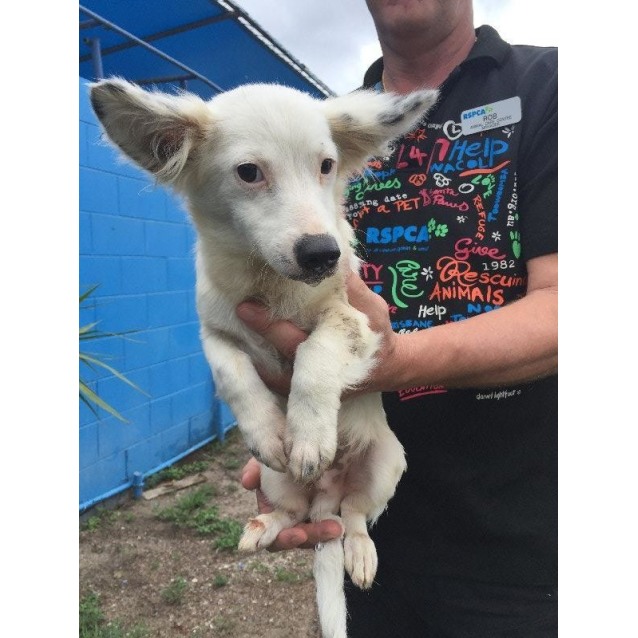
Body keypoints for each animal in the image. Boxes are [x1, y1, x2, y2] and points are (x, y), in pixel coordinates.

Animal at [90, 81, 440, 638]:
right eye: (249, 172)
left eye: (326, 165)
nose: (322, 255)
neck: (268, 281)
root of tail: (326, 492)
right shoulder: (213, 329)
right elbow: (231, 372)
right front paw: (271, 431)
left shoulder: (359, 322)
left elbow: (316, 353)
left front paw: (309, 436)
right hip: (275, 482)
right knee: (296, 517)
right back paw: (263, 527)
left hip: (387, 463)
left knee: (354, 517)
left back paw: (360, 553)